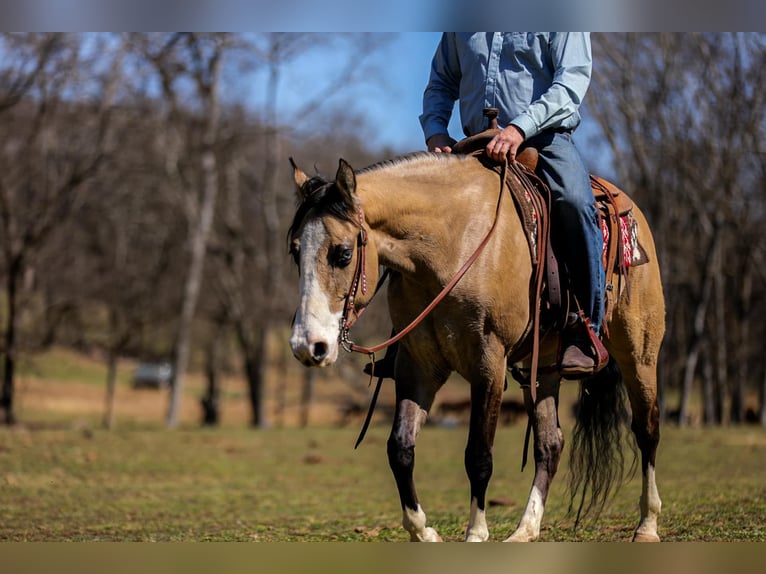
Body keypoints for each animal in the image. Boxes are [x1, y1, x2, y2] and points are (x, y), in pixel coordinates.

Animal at [287, 151, 665, 542]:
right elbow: (400, 448)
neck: (451, 247)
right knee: (550, 443)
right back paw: (525, 530)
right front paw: (424, 531)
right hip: (543, 366)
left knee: (647, 429)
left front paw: (476, 533)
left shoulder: (488, 364)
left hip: (639, 354)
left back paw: (647, 525)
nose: (307, 345)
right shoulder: (418, 367)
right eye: (295, 252)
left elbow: (479, 456)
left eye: (343, 254)